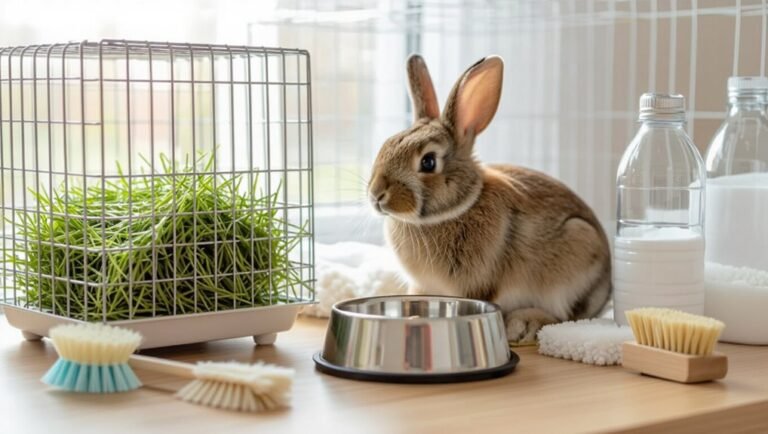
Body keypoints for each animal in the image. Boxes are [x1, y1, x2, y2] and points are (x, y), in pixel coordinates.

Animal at [367, 54, 612, 343]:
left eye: (428, 162)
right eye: (386, 144)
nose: (376, 194)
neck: (456, 209)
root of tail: (606, 290)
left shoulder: (476, 284)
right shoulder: (422, 286)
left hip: (576, 255)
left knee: (564, 318)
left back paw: (523, 325)